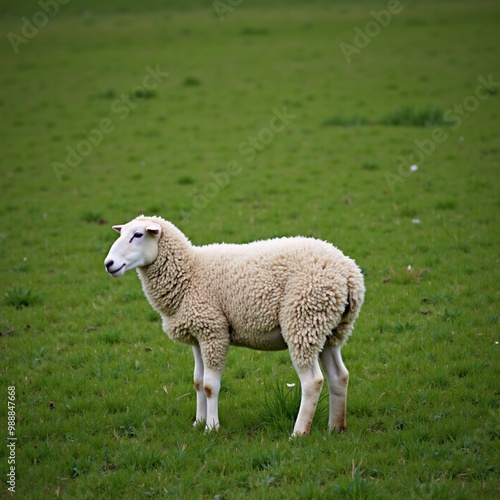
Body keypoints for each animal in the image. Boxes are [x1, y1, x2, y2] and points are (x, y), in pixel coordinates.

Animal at [104, 216, 364, 438]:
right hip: (330, 329)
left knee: (313, 381)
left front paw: (211, 427)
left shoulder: (213, 331)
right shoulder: (198, 336)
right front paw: (198, 422)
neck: (190, 272)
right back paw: (335, 428)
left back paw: (298, 433)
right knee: (339, 375)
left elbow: (209, 386)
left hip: (303, 318)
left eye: (138, 235)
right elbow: (197, 381)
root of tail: (350, 273)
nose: (109, 264)